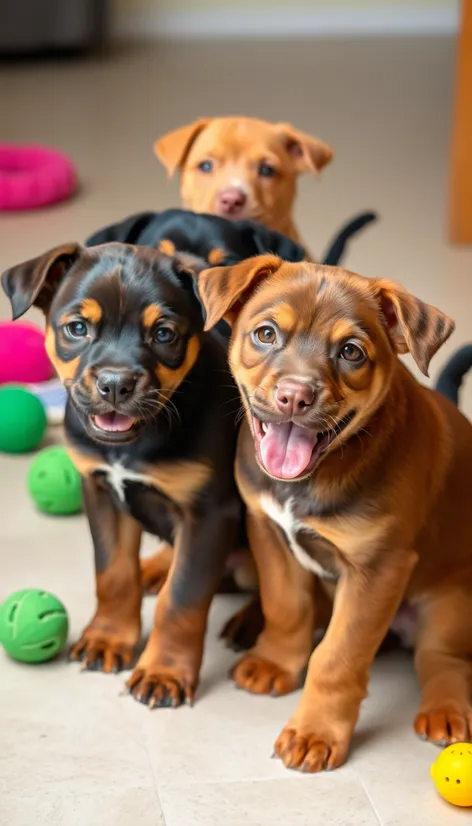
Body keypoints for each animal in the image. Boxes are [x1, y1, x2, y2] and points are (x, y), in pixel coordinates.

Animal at [1, 241, 242, 704]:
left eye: (164, 334)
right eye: (77, 328)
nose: (115, 384)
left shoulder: (209, 513)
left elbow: (182, 598)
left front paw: (165, 670)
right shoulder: (101, 492)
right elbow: (113, 573)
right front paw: (109, 638)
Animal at [196, 254, 472, 768]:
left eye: (351, 352)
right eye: (266, 333)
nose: (293, 396)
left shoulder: (378, 568)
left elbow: (338, 656)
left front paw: (315, 732)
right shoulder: (267, 530)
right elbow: (287, 606)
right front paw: (275, 662)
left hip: (451, 607)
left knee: (442, 660)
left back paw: (445, 711)